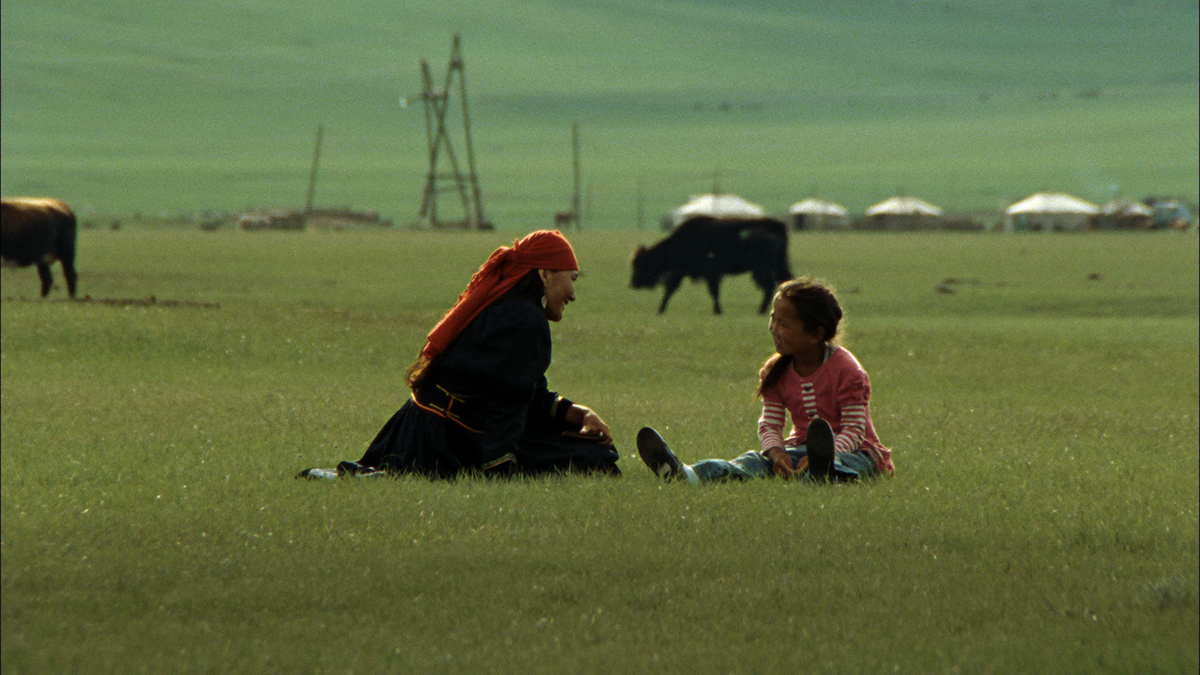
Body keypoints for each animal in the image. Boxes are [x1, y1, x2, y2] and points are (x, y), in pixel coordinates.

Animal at [633, 214, 792, 312]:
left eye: (641, 263)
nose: (633, 283)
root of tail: (776, 225)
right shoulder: (686, 272)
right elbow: (671, 290)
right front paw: (661, 309)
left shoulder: (705, 272)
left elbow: (712, 291)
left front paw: (718, 310)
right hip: (777, 266)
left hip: (761, 269)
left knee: (769, 286)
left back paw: (761, 310)